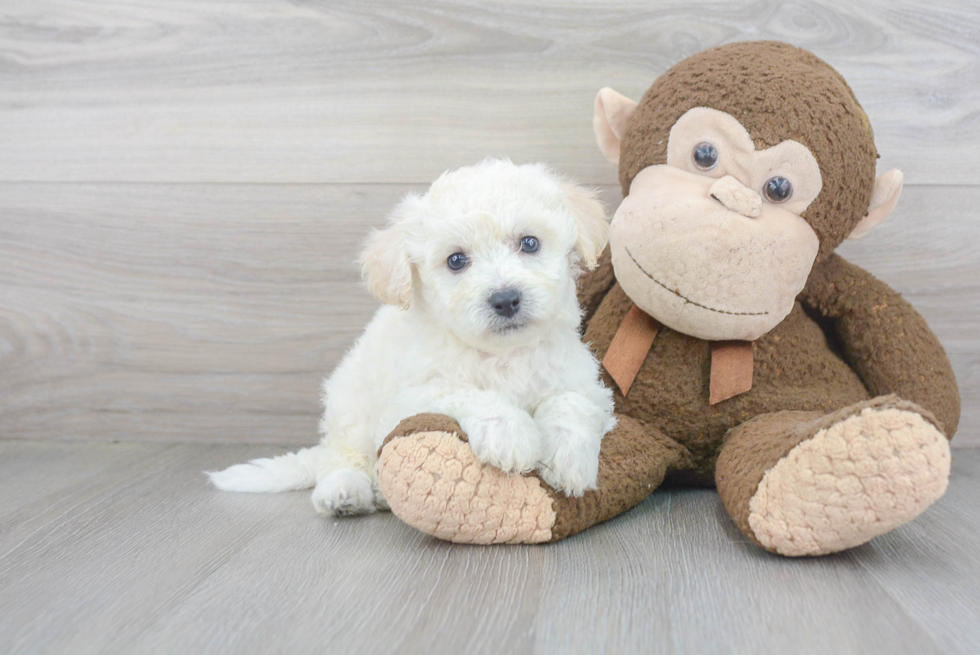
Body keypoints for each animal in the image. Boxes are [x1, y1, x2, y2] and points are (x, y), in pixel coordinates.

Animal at [211, 160, 616, 516]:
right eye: (456, 261)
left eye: (529, 243)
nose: (505, 299)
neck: (502, 355)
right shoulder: (409, 397)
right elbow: (464, 392)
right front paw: (509, 433)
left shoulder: (581, 378)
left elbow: (570, 401)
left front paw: (568, 458)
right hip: (350, 403)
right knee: (341, 456)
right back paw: (345, 492)